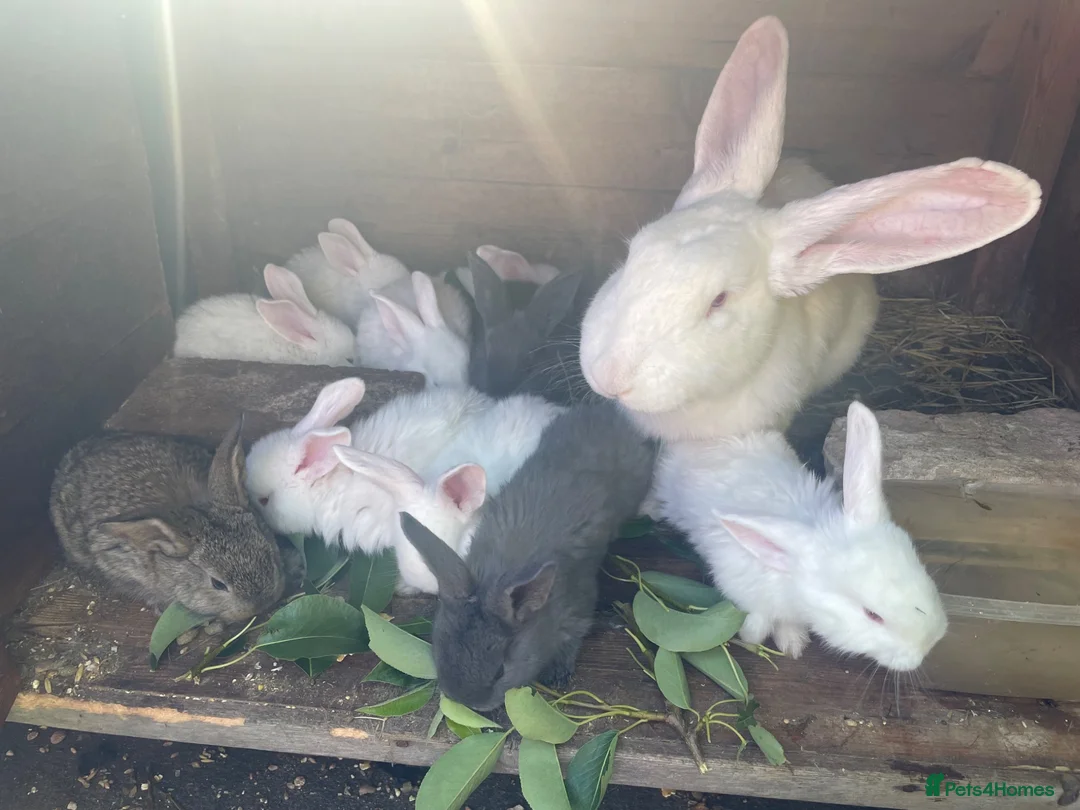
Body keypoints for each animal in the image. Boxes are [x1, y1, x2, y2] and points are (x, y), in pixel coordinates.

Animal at [398, 400, 658, 711]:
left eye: (500, 671)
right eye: (438, 651)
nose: (467, 704)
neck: (495, 573)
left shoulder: (577, 609)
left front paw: (557, 675)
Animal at [650, 401, 948, 672]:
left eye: (919, 568)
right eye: (872, 615)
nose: (931, 642)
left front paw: (793, 643)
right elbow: (757, 622)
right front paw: (754, 636)